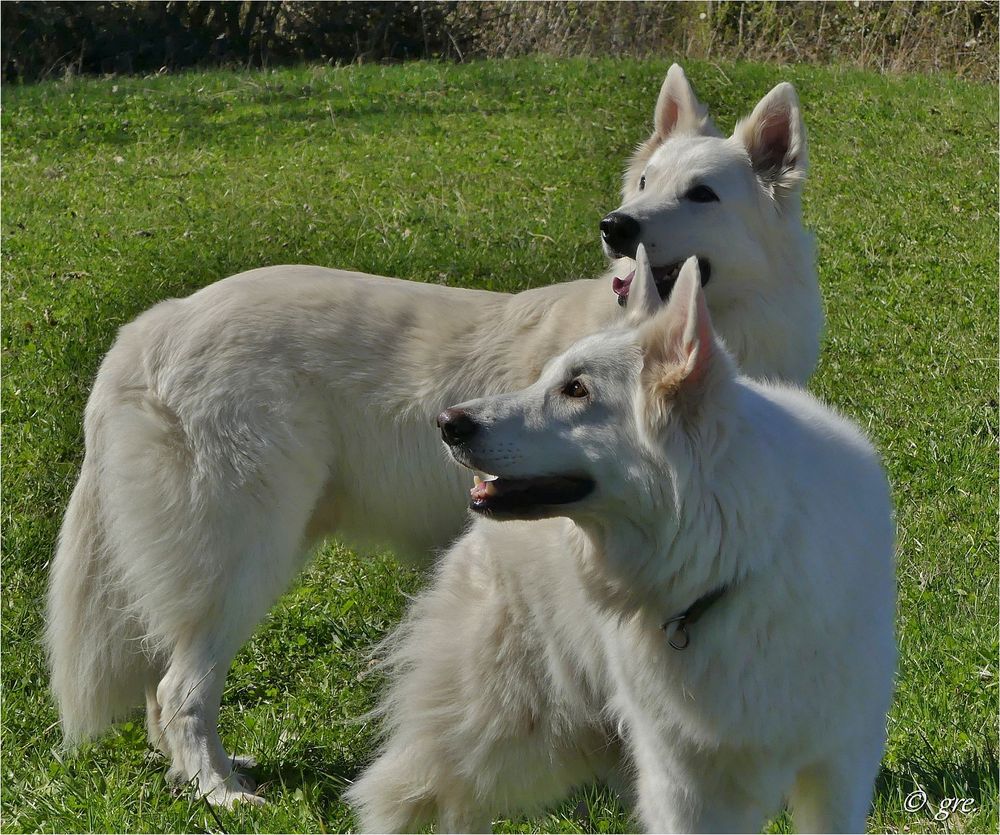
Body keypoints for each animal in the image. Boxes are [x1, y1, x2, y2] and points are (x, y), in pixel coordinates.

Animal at [47, 68, 824, 808]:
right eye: (643, 184)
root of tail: (159, 320)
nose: (616, 225)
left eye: (700, 195)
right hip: (244, 554)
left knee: (163, 689)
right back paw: (221, 792)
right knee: (178, 688)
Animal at [348, 250, 896, 835]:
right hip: (497, 733)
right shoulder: (686, 789)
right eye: (551, 379)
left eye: (576, 390)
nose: (447, 422)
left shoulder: (840, 768)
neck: (737, 557)